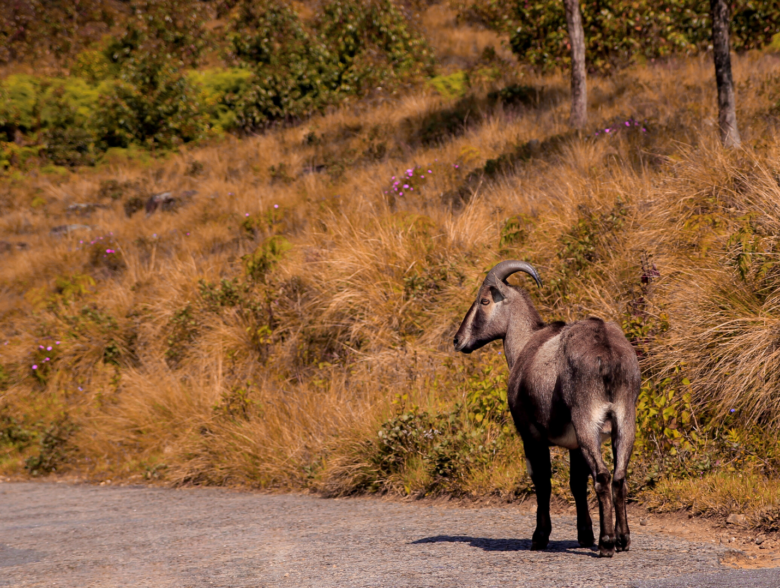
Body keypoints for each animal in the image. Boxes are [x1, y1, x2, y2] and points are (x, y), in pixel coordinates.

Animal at [450, 260, 640, 556]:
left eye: (484, 301)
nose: (458, 340)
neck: (527, 344)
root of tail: (608, 355)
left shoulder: (531, 435)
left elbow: (542, 481)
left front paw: (539, 537)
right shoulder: (574, 445)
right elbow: (576, 483)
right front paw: (584, 535)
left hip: (588, 421)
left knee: (602, 475)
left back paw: (607, 543)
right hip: (624, 420)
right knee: (619, 476)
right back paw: (622, 539)